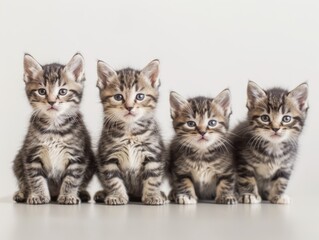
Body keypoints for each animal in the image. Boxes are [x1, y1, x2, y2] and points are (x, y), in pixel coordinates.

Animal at [12, 53, 95, 204]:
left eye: (62, 91)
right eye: (41, 91)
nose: (51, 102)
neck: (54, 127)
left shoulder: (77, 156)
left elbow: (72, 179)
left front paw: (68, 196)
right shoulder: (31, 154)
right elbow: (35, 178)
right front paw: (38, 195)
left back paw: (82, 193)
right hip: (18, 160)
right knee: (23, 180)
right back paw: (22, 193)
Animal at [94, 59, 168, 205]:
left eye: (140, 96)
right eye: (118, 97)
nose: (129, 107)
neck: (130, 133)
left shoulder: (153, 154)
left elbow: (153, 178)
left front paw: (152, 195)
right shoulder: (108, 157)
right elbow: (113, 180)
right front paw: (117, 196)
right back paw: (102, 194)